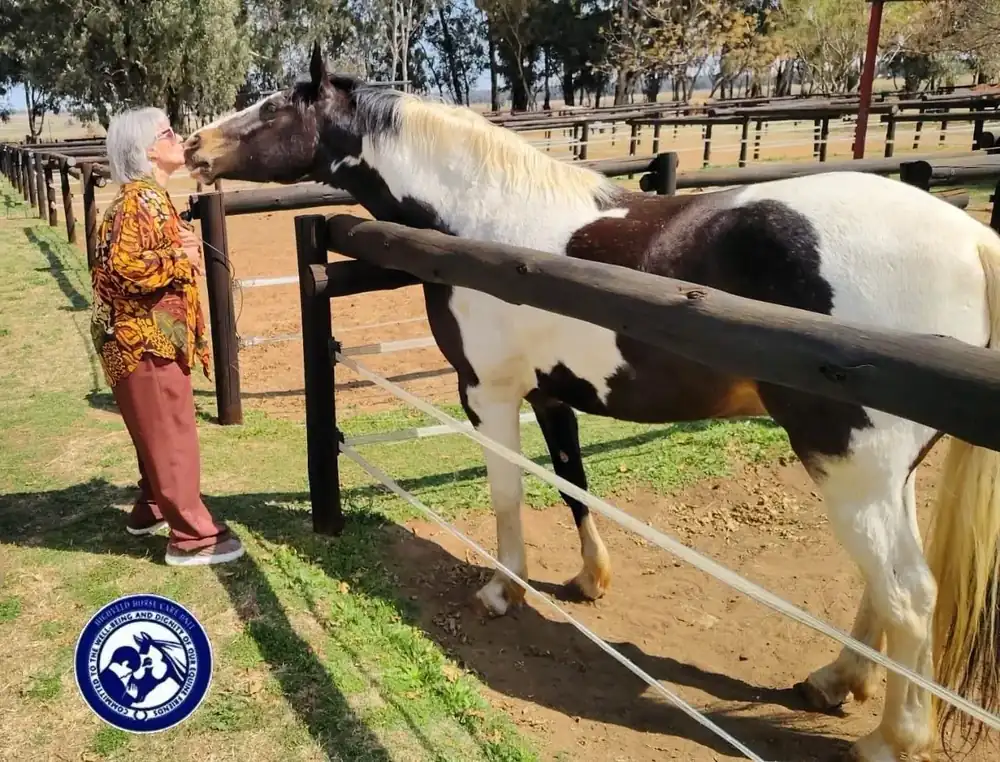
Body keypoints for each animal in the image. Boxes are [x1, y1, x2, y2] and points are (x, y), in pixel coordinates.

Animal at [184, 44, 1000, 761]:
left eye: (269, 109)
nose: (192, 147)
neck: (486, 225)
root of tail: (968, 238)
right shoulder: (552, 394)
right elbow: (573, 483)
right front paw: (588, 579)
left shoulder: (488, 394)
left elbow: (509, 494)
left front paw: (502, 589)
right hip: (880, 474)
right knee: (884, 586)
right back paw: (838, 680)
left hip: (849, 463)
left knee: (908, 594)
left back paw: (893, 737)